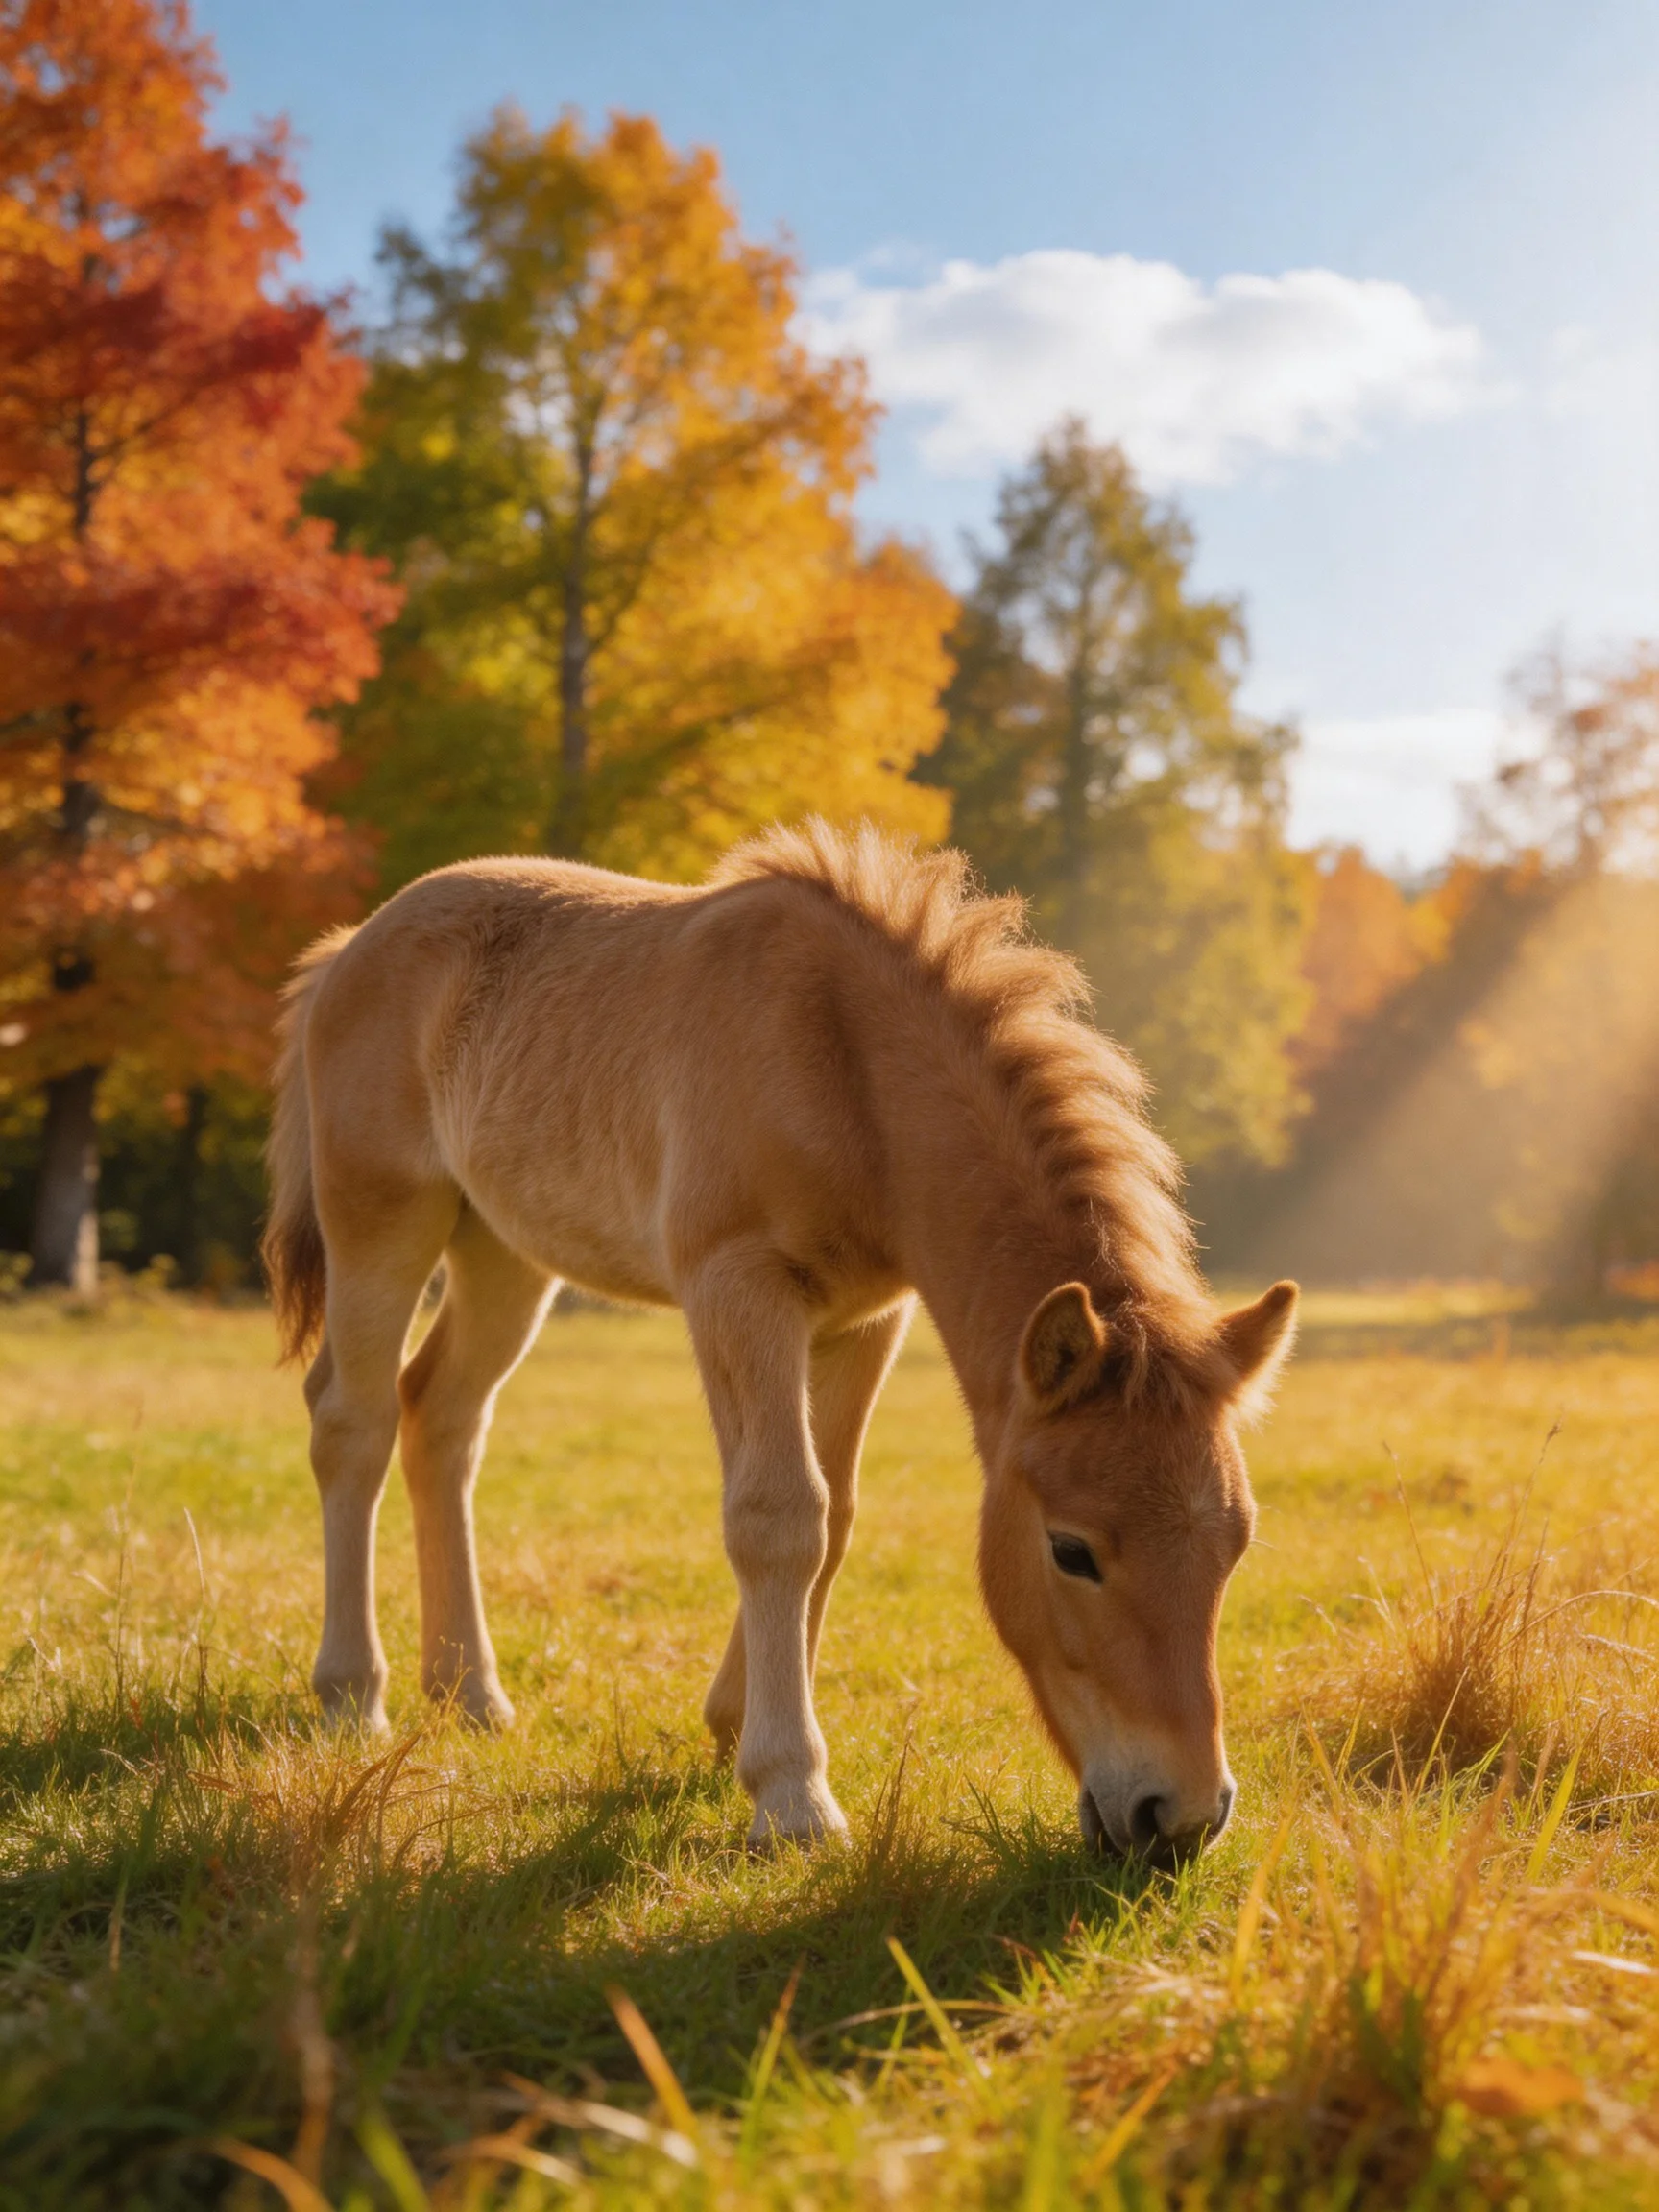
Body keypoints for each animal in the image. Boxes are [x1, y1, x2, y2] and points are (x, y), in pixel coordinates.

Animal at [262, 820, 1296, 1864]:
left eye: (1236, 1544)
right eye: (1072, 1550)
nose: (1180, 1817)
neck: (844, 1062)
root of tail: (348, 951)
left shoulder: (866, 1318)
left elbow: (831, 1519)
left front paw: (732, 1726)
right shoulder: (738, 1288)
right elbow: (777, 1515)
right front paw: (792, 1795)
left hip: (502, 1252)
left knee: (442, 1417)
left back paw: (469, 1694)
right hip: (383, 1219)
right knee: (352, 1423)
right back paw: (353, 1697)